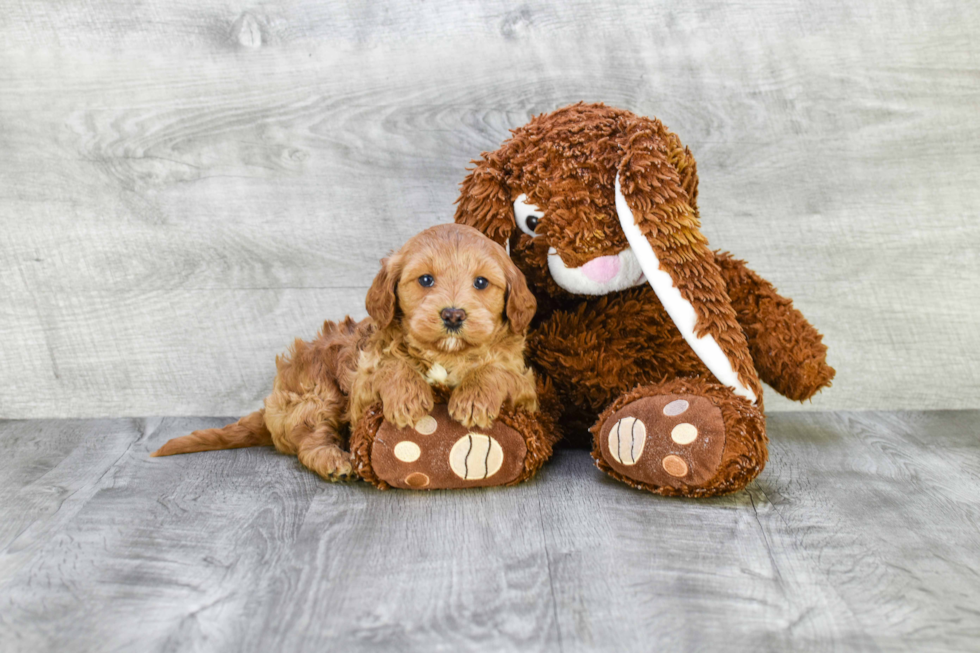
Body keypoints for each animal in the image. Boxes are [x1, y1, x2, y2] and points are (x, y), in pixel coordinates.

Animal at [152, 224, 536, 478]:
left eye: (482, 282)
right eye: (426, 280)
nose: (453, 314)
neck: (446, 355)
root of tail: (271, 404)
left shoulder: (527, 389)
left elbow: (497, 371)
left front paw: (473, 399)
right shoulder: (361, 393)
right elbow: (389, 367)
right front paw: (408, 396)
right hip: (317, 396)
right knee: (309, 441)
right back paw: (334, 461)